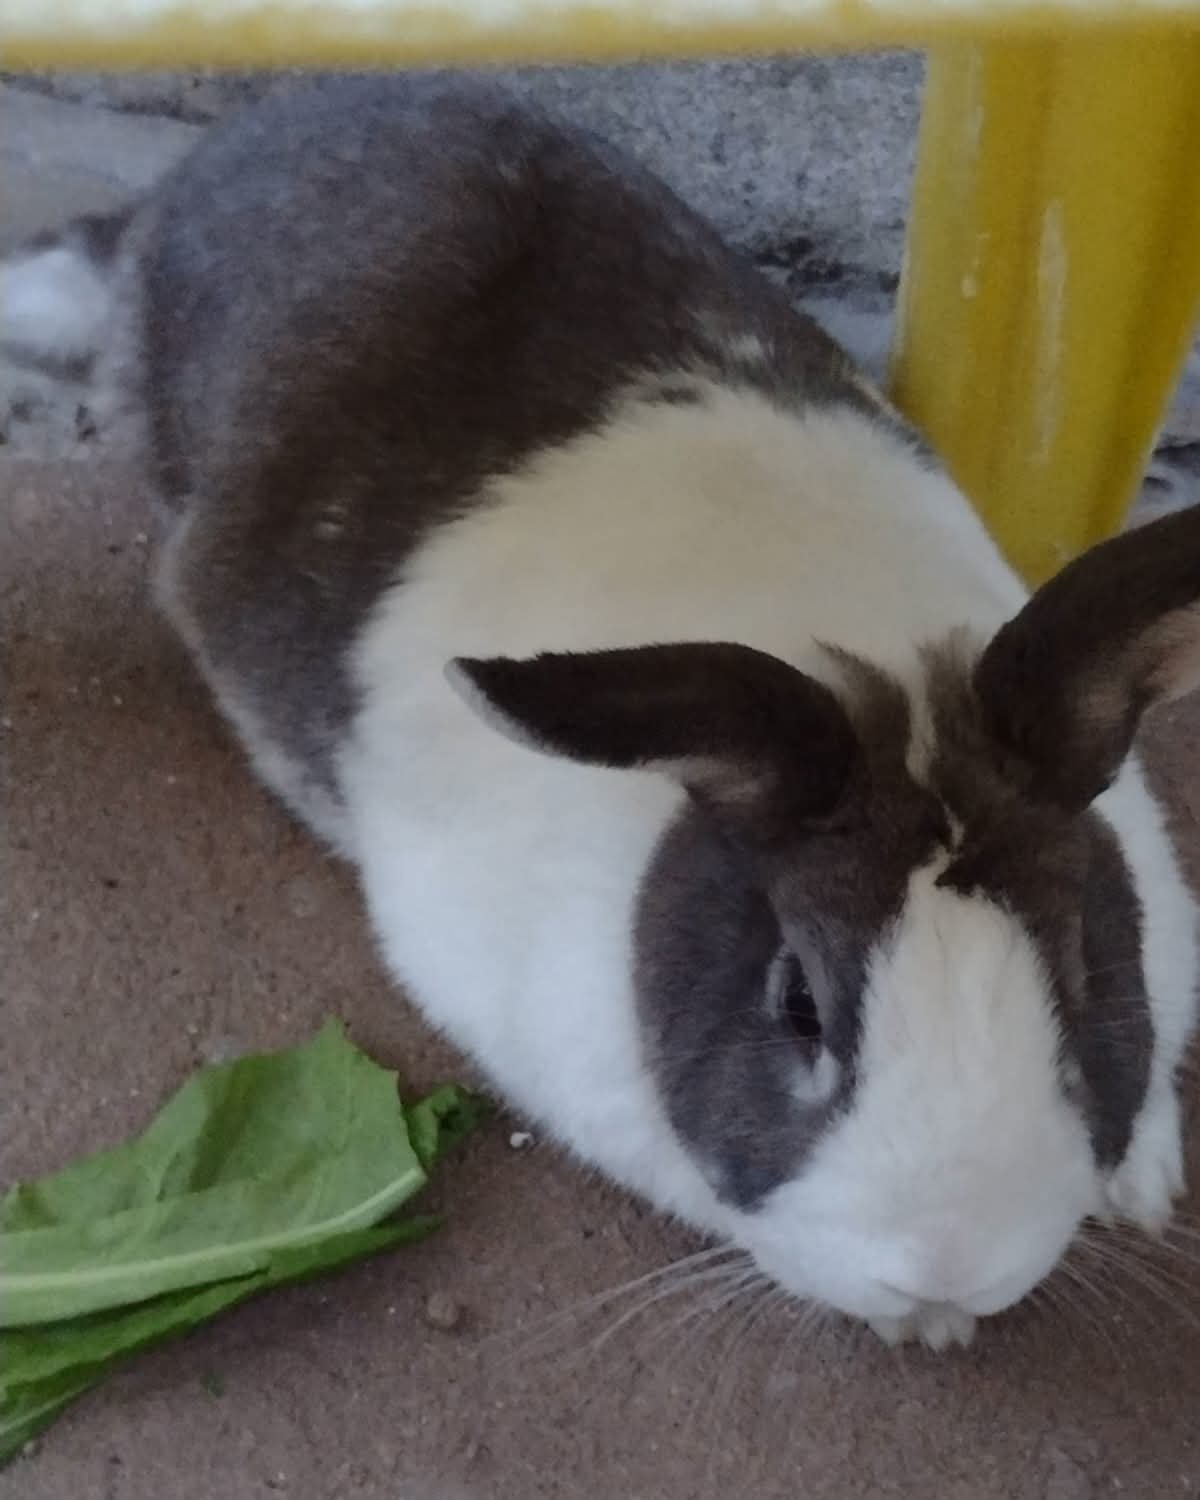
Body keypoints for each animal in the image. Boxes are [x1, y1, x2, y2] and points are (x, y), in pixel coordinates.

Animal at [5, 74, 1198, 1352]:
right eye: (797, 1003)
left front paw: (1137, 1190)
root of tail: (178, 195)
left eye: (1082, 965)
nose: (945, 1269)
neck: (876, 671)